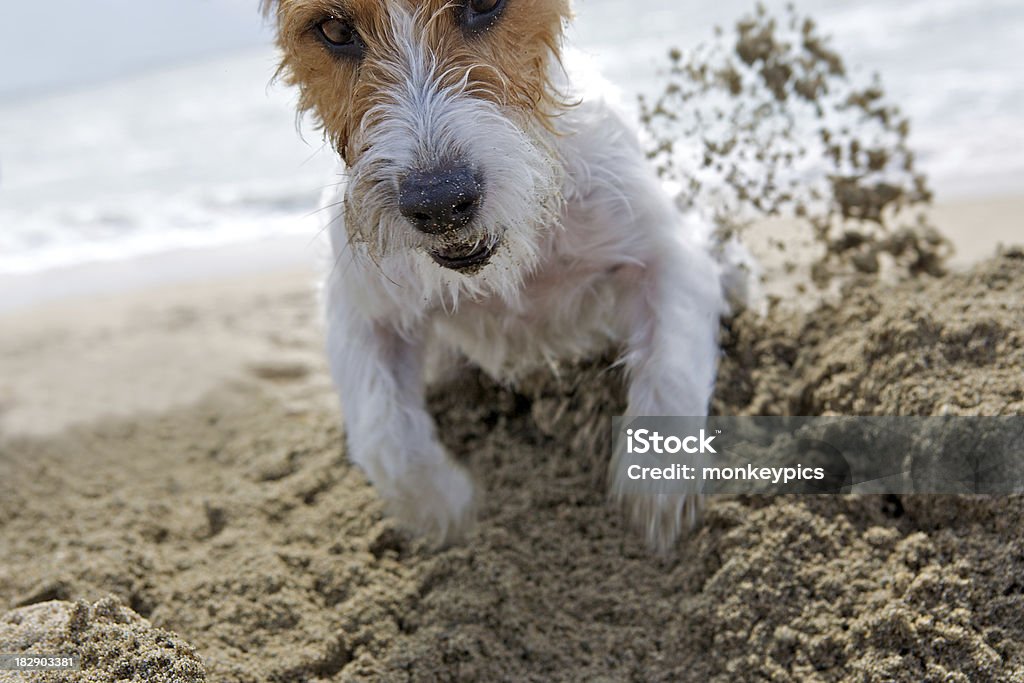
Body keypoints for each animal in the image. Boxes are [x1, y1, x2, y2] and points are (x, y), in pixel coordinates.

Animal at [260, 0, 749, 548]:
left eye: (483, 5)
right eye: (334, 29)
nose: (440, 204)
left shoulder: (666, 250)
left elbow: (672, 373)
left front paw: (657, 502)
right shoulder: (360, 309)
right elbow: (383, 435)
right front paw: (450, 511)